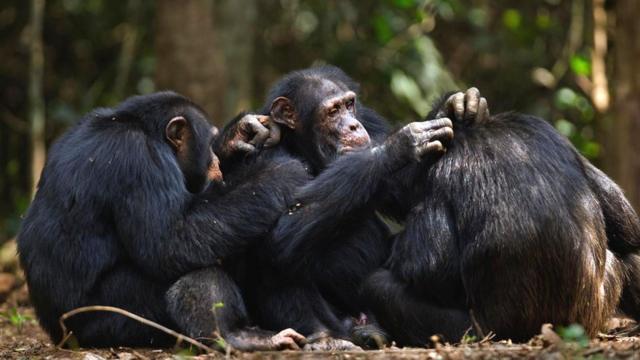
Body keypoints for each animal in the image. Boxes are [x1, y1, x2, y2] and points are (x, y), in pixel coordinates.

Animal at [15, 91, 304, 350]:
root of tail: (61, 336)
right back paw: (234, 335)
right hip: (112, 319)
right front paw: (279, 173)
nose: (214, 159)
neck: (138, 126)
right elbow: (172, 238)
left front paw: (239, 134)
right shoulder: (140, 158)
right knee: (197, 267)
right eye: (208, 142)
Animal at [215, 66, 460, 350]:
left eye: (349, 105)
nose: (353, 125)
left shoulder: (370, 121)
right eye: (333, 112)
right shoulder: (261, 157)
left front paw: (458, 106)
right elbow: (281, 227)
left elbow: (407, 195)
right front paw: (400, 145)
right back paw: (327, 337)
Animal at [360, 88, 640, 344]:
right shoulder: (548, 130)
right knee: (627, 251)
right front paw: (457, 106)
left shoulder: (437, 180)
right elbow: (625, 219)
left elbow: (427, 267)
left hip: (476, 332)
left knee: (379, 286)